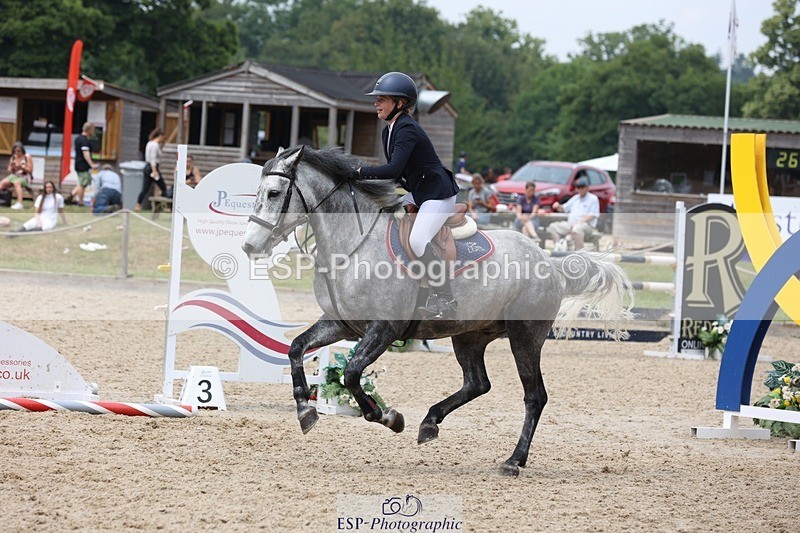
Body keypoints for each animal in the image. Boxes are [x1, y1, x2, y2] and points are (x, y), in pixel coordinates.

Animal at [242, 145, 633, 476]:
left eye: (274, 194)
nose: (249, 246)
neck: (352, 245)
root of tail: (549, 263)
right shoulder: (342, 324)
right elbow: (296, 348)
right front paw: (306, 410)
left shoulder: (383, 329)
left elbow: (351, 373)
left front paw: (387, 417)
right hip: (470, 336)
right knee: (477, 383)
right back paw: (430, 422)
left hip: (525, 336)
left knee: (534, 396)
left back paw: (513, 460)